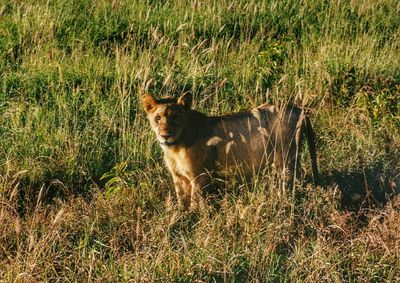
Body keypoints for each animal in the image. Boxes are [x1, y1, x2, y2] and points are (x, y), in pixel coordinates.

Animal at [142, 92, 318, 212]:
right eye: (158, 118)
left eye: (176, 117)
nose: (165, 135)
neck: (175, 148)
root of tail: (299, 108)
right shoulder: (179, 178)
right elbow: (181, 199)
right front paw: (180, 214)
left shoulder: (200, 176)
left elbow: (194, 200)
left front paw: (193, 217)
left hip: (285, 159)